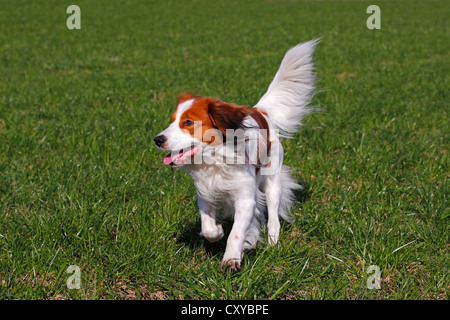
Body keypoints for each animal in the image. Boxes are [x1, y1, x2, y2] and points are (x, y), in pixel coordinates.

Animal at [156, 39, 318, 270]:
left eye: (188, 122)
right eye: (171, 120)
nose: (157, 139)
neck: (216, 159)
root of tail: (260, 111)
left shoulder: (245, 197)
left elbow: (236, 232)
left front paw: (231, 258)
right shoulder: (205, 194)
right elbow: (208, 227)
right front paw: (218, 232)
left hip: (272, 182)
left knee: (273, 217)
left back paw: (272, 242)